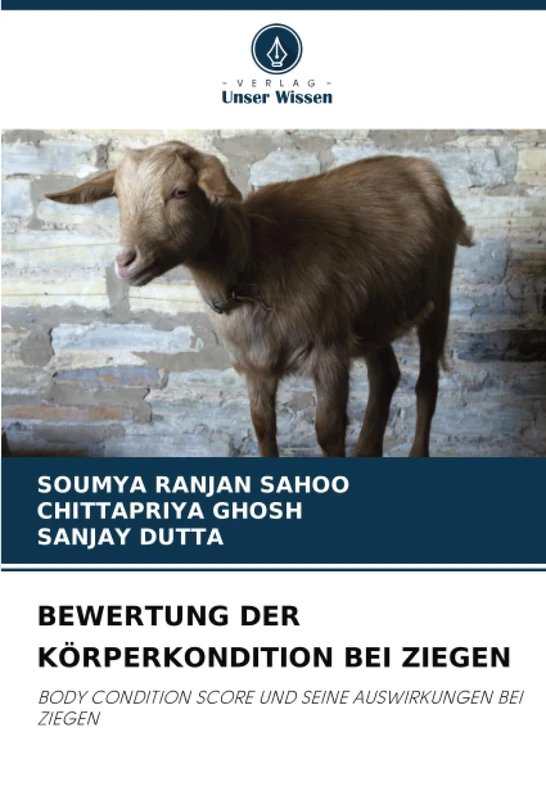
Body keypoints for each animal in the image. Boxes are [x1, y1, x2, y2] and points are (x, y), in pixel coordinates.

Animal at [46, 140, 473, 457]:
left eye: (180, 191)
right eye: (118, 195)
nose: (125, 261)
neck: (255, 261)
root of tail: (420, 169)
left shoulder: (329, 352)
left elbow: (328, 432)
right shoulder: (254, 367)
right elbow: (263, 429)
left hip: (439, 295)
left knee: (426, 382)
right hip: (374, 317)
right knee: (385, 376)